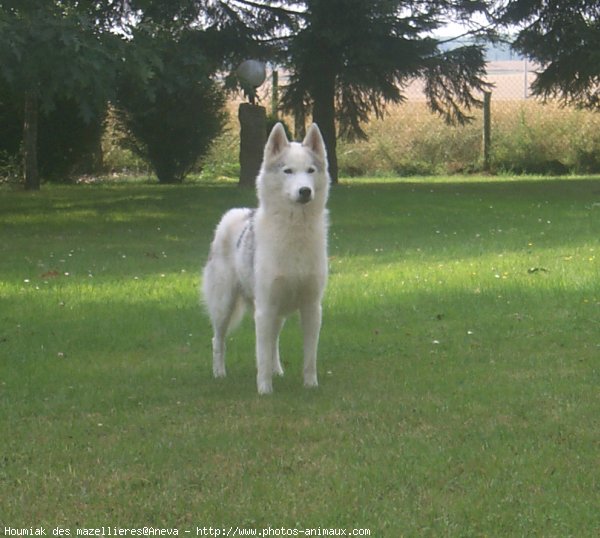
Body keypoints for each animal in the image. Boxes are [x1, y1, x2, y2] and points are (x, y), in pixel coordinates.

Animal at [204, 123, 330, 392]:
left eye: (310, 170)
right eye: (288, 171)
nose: (305, 191)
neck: (294, 229)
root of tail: (235, 213)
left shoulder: (312, 307)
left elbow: (309, 356)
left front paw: (310, 386)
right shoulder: (264, 309)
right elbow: (261, 354)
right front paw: (264, 390)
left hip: (277, 311)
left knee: (273, 341)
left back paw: (278, 370)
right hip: (224, 305)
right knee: (218, 340)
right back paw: (219, 374)